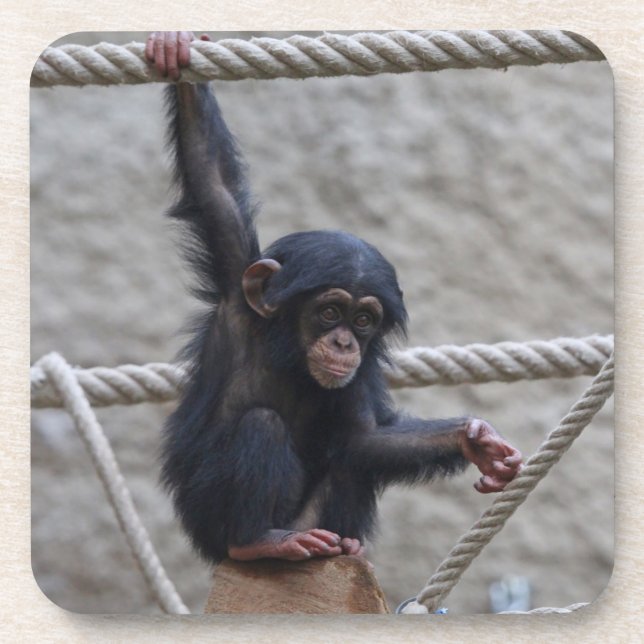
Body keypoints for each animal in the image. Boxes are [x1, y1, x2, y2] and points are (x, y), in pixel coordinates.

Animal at [146, 32, 523, 563]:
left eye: (363, 321)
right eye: (328, 312)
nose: (345, 343)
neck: (289, 354)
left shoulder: (359, 376)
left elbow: (364, 439)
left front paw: (477, 443)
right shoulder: (236, 290)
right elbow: (211, 179)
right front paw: (176, 53)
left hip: (316, 524)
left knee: (350, 462)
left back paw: (345, 545)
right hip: (212, 526)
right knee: (261, 426)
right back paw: (258, 542)